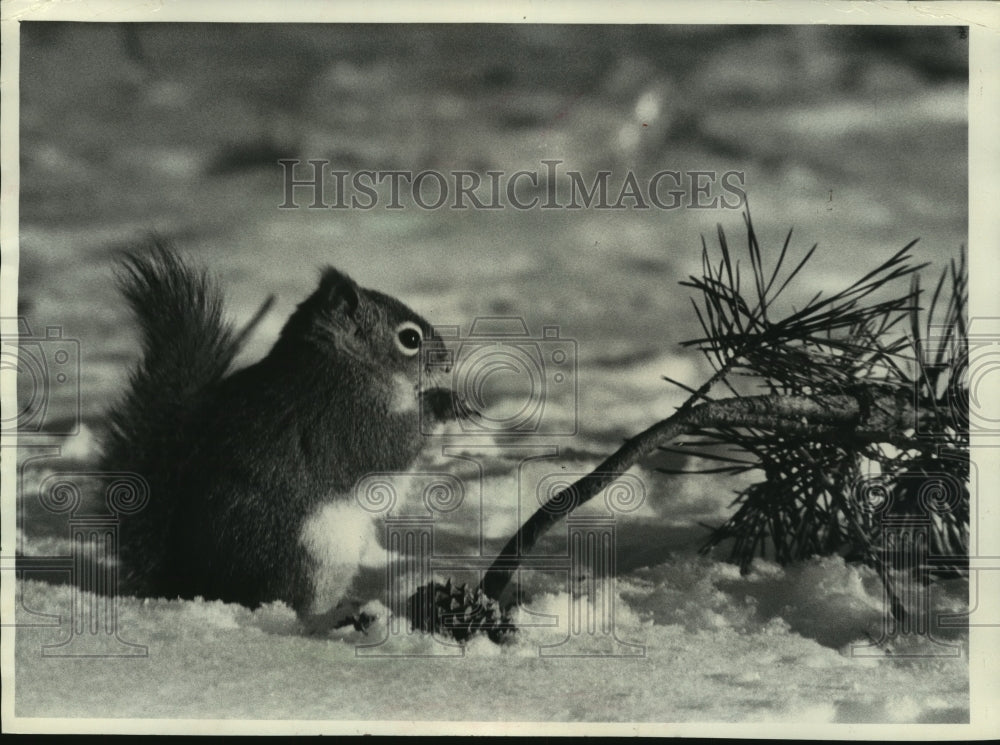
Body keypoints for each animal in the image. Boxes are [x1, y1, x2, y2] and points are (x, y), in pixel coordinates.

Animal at [101, 240, 462, 632]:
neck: (344, 361)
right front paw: (441, 402)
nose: (448, 363)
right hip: (304, 558)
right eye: (410, 338)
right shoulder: (346, 418)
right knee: (290, 604)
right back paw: (332, 618)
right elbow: (388, 448)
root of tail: (193, 583)